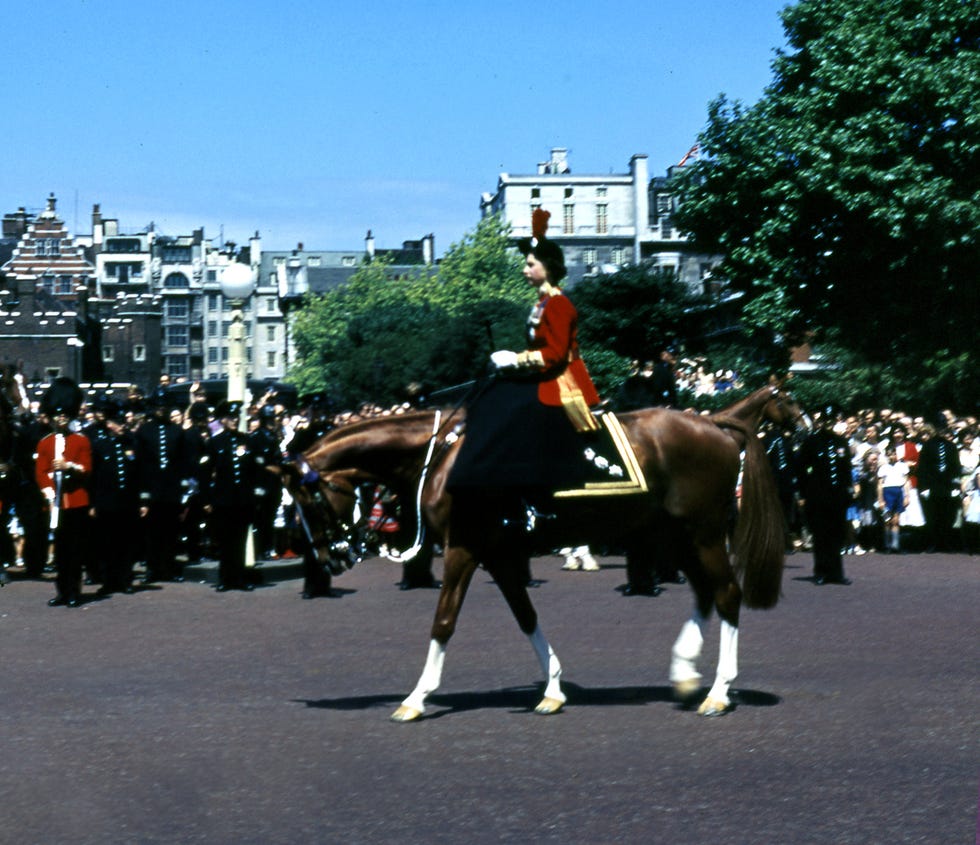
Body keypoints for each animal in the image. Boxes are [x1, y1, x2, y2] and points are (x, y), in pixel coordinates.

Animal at [288, 382, 800, 720]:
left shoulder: (464, 548)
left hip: (703, 533)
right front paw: (552, 688)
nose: (332, 558)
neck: (445, 456)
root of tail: (713, 422)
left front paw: (416, 697)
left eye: (310, 501)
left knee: (727, 595)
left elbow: (444, 621)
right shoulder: (497, 553)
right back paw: (686, 674)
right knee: (706, 595)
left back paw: (719, 690)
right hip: (675, 536)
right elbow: (526, 616)